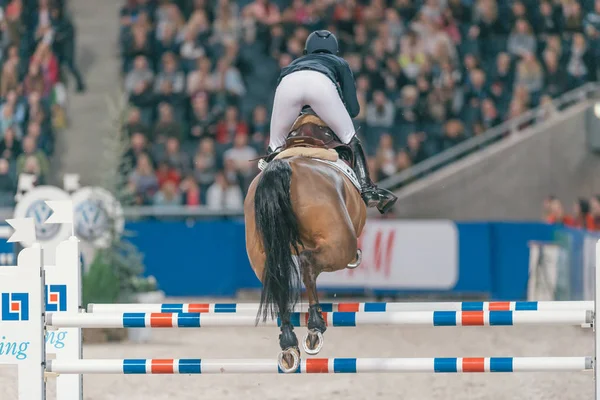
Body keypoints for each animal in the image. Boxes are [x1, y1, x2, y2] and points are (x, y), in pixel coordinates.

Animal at [243, 109, 366, 372]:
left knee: (278, 280)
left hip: (261, 254)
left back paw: (289, 344)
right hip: (340, 244)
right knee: (308, 265)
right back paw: (315, 327)